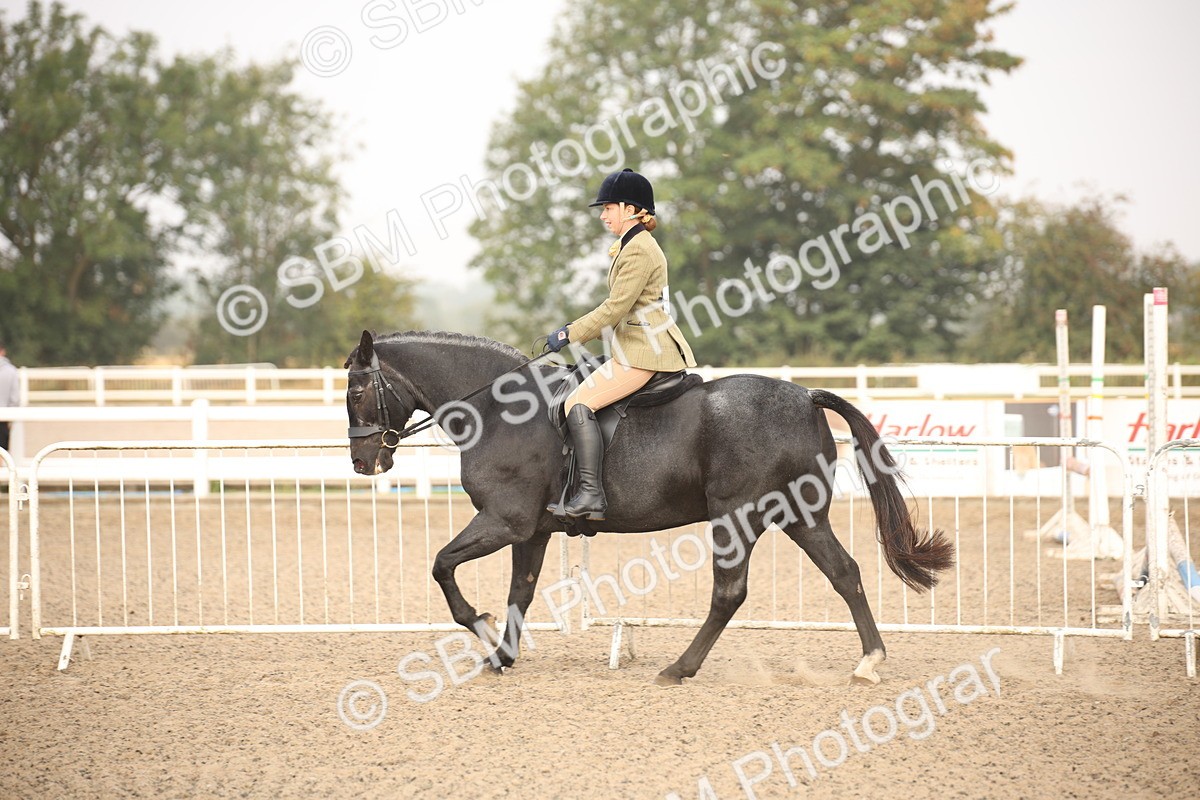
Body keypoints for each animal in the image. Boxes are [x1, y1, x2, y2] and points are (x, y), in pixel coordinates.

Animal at [343, 329, 953, 685]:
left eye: (355, 391)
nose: (363, 462)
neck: (498, 410)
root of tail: (806, 394)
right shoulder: (532, 530)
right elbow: (521, 591)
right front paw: (503, 653)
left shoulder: (504, 521)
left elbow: (443, 567)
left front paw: (484, 629)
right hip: (802, 517)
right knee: (844, 572)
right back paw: (870, 661)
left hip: (736, 517)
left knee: (730, 593)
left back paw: (679, 668)